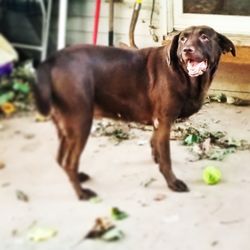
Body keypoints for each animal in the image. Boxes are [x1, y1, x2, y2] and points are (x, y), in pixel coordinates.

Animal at [32, 25, 234, 200]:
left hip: (66, 125)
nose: (187, 50)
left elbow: (155, 145)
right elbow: (166, 158)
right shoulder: (164, 121)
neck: (182, 74)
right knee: (70, 162)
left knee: (60, 158)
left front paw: (156, 159)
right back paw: (82, 193)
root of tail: (53, 59)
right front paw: (172, 182)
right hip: (80, 122)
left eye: (204, 37)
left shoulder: (158, 123)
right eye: (183, 39)